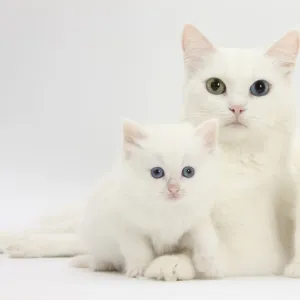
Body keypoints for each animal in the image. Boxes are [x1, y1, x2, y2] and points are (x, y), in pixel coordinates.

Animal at [70, 118, 220, 280]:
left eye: (188, 171)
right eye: (157, 172)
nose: (174, 189)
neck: (168, 210)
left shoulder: (198, 219)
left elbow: (205, 236)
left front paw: (209, 264)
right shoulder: (128, 228)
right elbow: (139, 252)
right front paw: (138, 270)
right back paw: (101, 264)